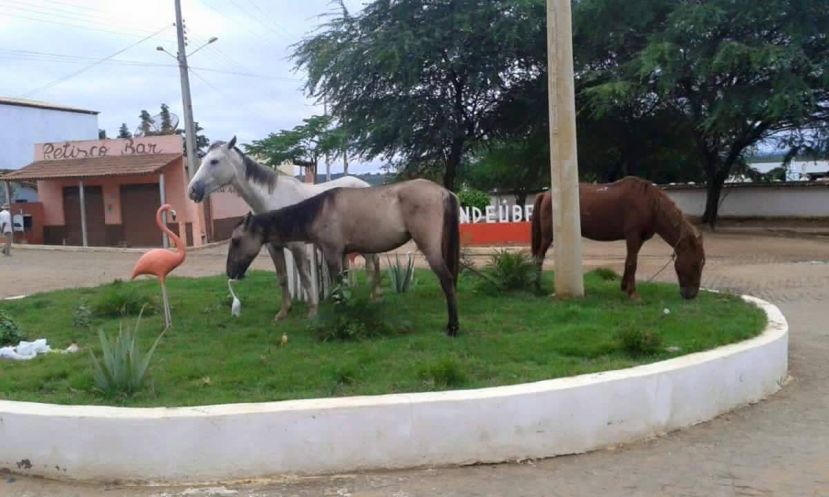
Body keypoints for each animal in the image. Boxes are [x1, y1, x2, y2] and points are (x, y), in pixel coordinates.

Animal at [225, 176, 460, 336]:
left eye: (235, 241)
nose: (230, 271)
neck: (319, 211)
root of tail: (443, 191)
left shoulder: (332, 253)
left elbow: (339, 286)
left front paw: (341, 318)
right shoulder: (342, 255)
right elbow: (343, 284)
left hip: (430, 249)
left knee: (447, 281)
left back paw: (452, 328)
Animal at [532, 175, 704, 298]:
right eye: (695, 264)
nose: (691, 295)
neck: (650, 204)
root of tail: (546, 194)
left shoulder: (638, 240)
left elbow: (629, 261)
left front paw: (624, 287)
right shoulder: (633, 236)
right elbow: (633, 263)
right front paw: (633, 294)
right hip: (548, 237)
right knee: (539, 257)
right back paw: (537, 287)